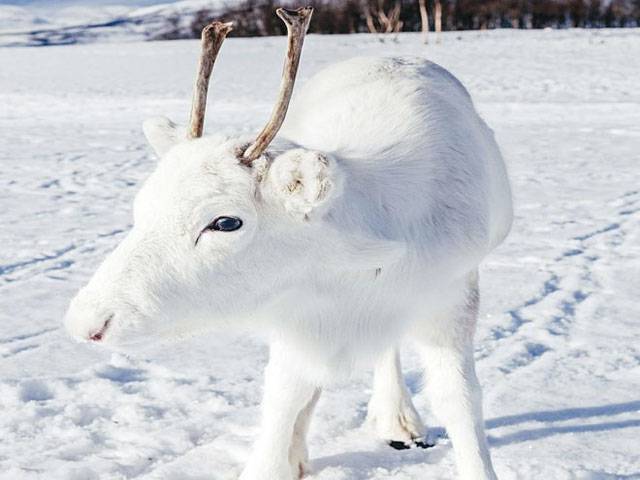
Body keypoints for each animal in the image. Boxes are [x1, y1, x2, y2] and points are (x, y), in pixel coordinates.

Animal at [65, 7, 512, 480]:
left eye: (225, 222)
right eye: (142, 205)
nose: (87, 322)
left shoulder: (451, 295)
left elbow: (460, 400)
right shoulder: (293, 314)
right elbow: (283, 397)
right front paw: (278, 459)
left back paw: (397, 419)